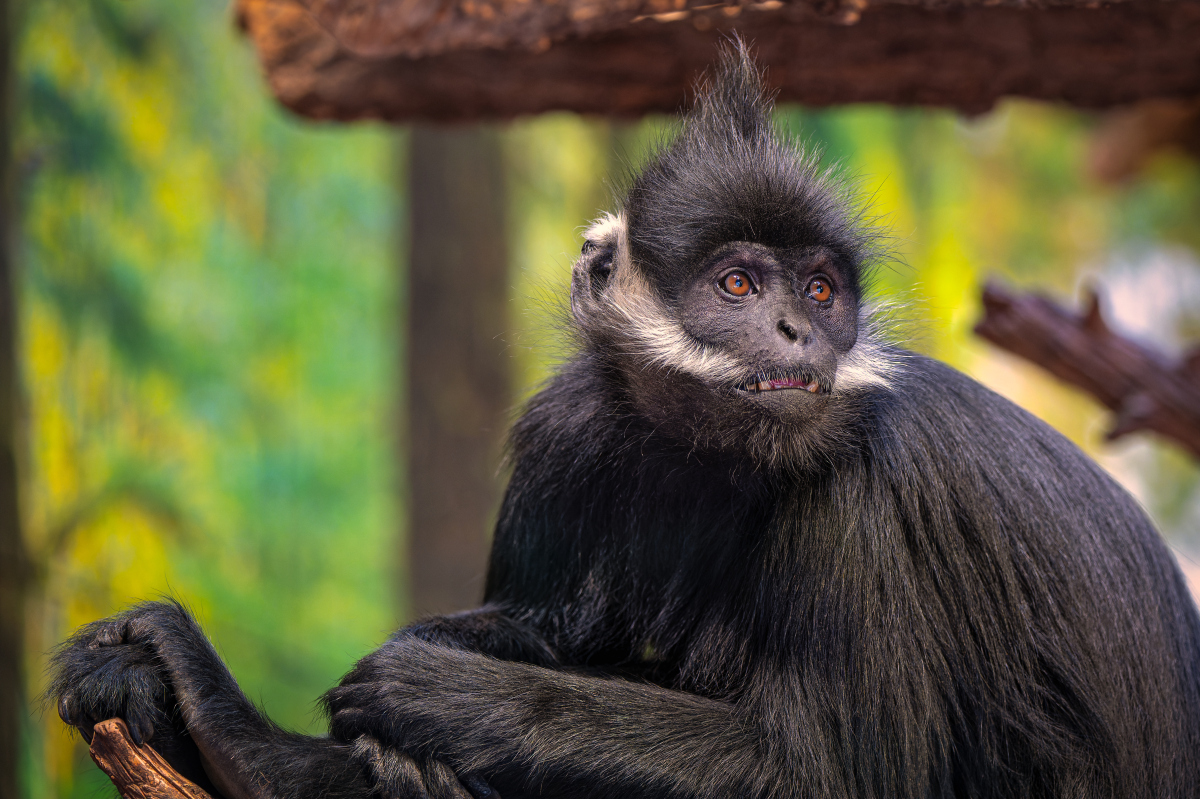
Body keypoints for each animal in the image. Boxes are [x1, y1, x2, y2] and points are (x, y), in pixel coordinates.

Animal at [49, 41, 1200, 796]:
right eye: (738, 285)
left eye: (821, 290)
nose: (799, 330)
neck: (707, 452)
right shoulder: (563, 429)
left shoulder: (872, 477)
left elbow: (830, 774)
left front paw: (433, 697)